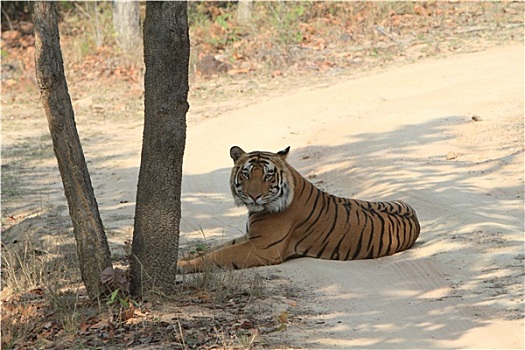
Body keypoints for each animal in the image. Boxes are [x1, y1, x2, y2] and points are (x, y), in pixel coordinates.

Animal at [178, 146, 420, 272]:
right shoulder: (250, 237)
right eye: (246, 173)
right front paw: (186, 254)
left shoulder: (262, 247)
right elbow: (216, 247)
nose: (254, 196)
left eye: (267, 175)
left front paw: (182, 265)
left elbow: (218, 255)